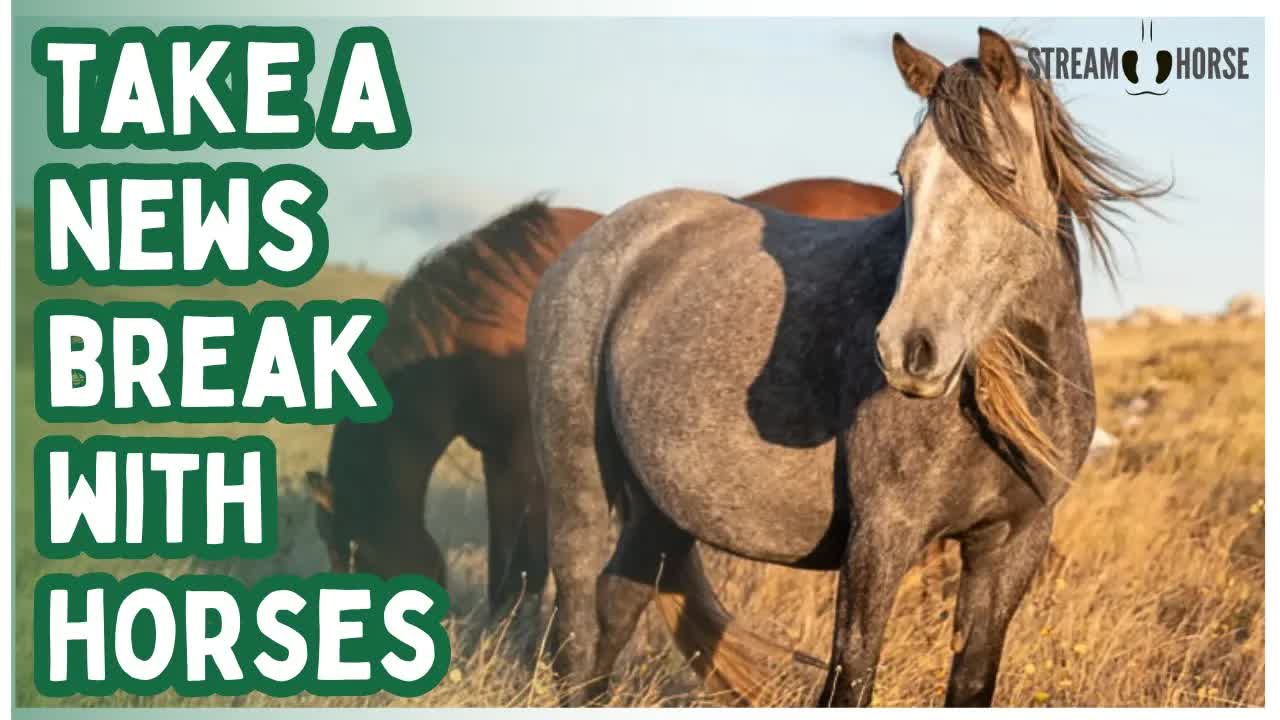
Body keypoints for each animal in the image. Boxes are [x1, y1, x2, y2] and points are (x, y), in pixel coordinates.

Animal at [526, 28, 1163, 707]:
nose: (908, 349)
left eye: (1007, 172)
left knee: (620, 601)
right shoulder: (881, 537)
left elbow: (972, 680)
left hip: (660, 505)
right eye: (905, 176)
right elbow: (850, 678)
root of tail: (596, 244)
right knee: (576, 617)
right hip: (578, 483)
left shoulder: (1013, 540)